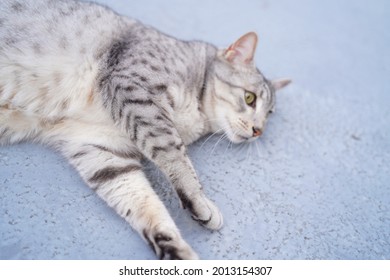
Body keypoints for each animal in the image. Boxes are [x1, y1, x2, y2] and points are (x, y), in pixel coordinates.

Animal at [0, 0, 290, 260]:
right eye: (250, 98)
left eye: (269, 114)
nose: (258, 131)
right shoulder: (134, 92)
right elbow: (176, 156)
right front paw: (200, 202)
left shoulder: (101, 147)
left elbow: (142, 202)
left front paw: (175, 249)